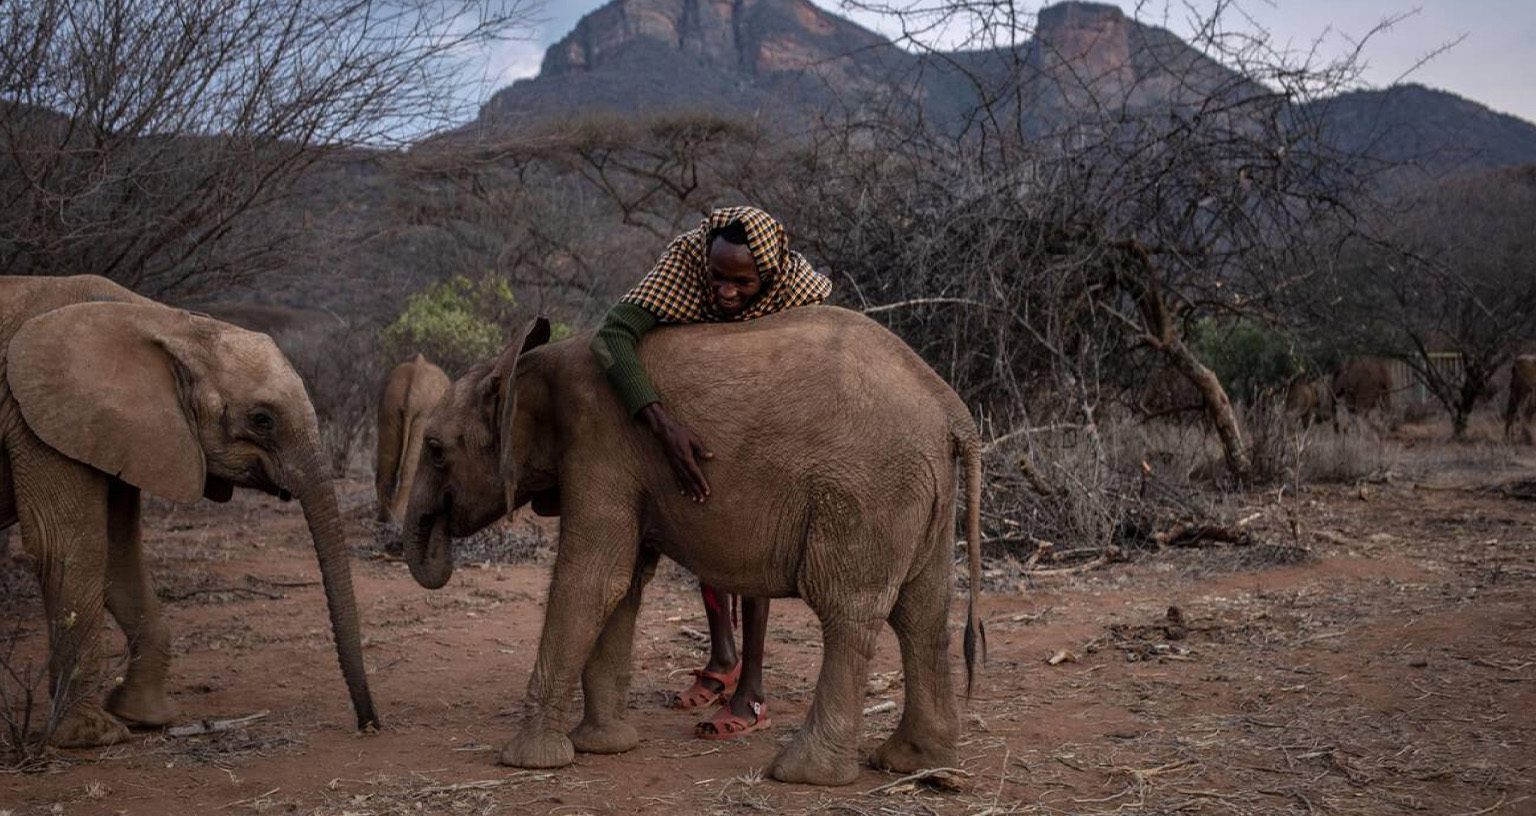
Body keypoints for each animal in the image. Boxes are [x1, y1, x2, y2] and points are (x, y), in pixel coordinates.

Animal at [0, 275, 378, 747]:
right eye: (262, 419)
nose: (369, 724)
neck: (167, 323)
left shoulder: (117, 431)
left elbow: (118, 557)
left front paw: (144, 715)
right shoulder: (41, 420)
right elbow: (68, 547)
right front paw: (92, 735)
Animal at [399, 306, 984, 786]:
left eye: (435, 449)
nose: (436, 555)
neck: (531, 364)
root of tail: (951, 410)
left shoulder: (598, 450)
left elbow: (594, 579)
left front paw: (528, 761)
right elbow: (624, 583)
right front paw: (605, 747)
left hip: (866, 490)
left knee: (848, 609)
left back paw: (803, 774)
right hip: (922, 486)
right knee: (922, 612)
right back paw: (915, 763)